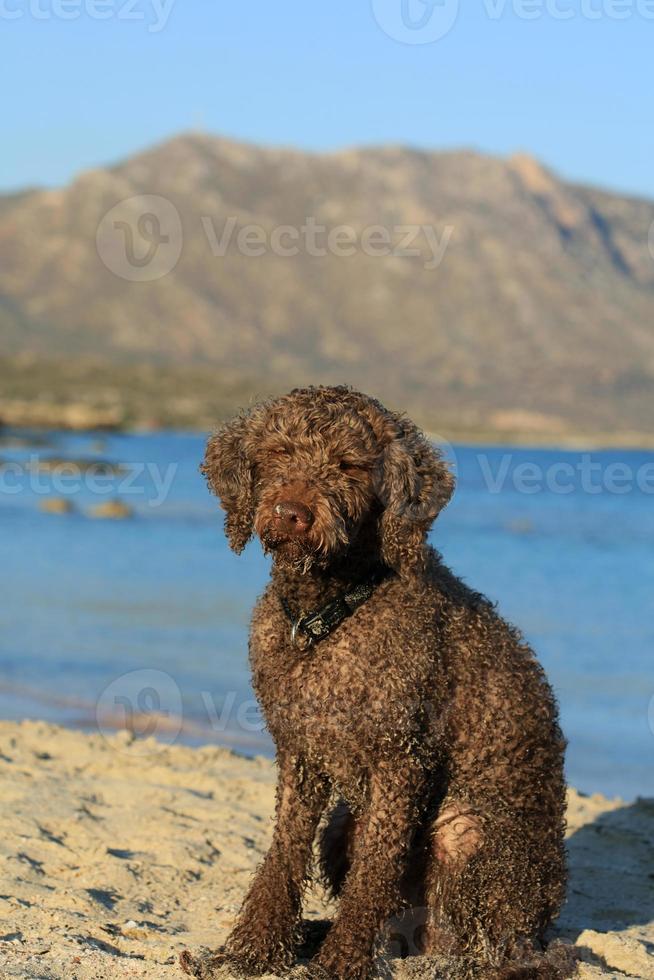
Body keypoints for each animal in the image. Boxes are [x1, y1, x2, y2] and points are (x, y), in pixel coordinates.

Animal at [181, 384, 580, 980]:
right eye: (278, 452)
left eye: (350, 466)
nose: (292, 514)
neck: (329, 613)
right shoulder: (299, 752)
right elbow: (284, 853)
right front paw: (254, 949)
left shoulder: (402, 761)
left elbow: (374, 874)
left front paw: (340, 962)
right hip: (342, 826)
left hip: (469, 837)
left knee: (468, 950)